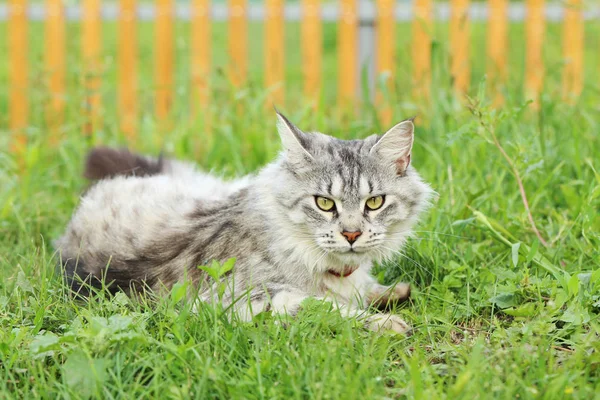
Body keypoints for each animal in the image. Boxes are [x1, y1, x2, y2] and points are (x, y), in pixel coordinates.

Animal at [55, 112, 432, 334]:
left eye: (374, 202)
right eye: (324, 204)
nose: (352, 234)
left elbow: (359, 290)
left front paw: (387, 292)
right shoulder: (241, 298)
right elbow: (323, 308)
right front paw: (382, 322)